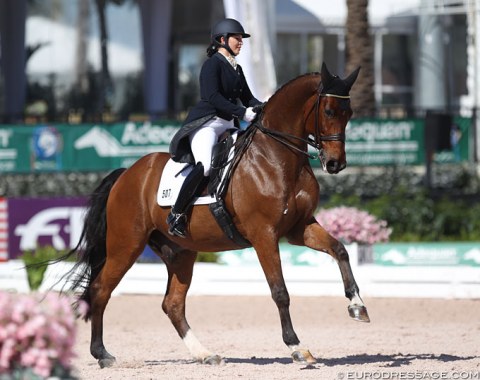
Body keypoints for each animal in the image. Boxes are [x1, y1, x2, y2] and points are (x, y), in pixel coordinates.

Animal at [63, 62, 370, 368]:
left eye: (349, 113)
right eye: (329, 111)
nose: (335, 164)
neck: (278, 158)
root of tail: (126, 174)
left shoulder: (299, 228)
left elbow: (340, 249)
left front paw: (357, 306)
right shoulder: (264, 235)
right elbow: (280, 291)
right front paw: (297, 347)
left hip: (181, 252)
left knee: (172, 304)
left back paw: (205, 354)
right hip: (125, 245)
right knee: (101, 290)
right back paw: (103, 355)